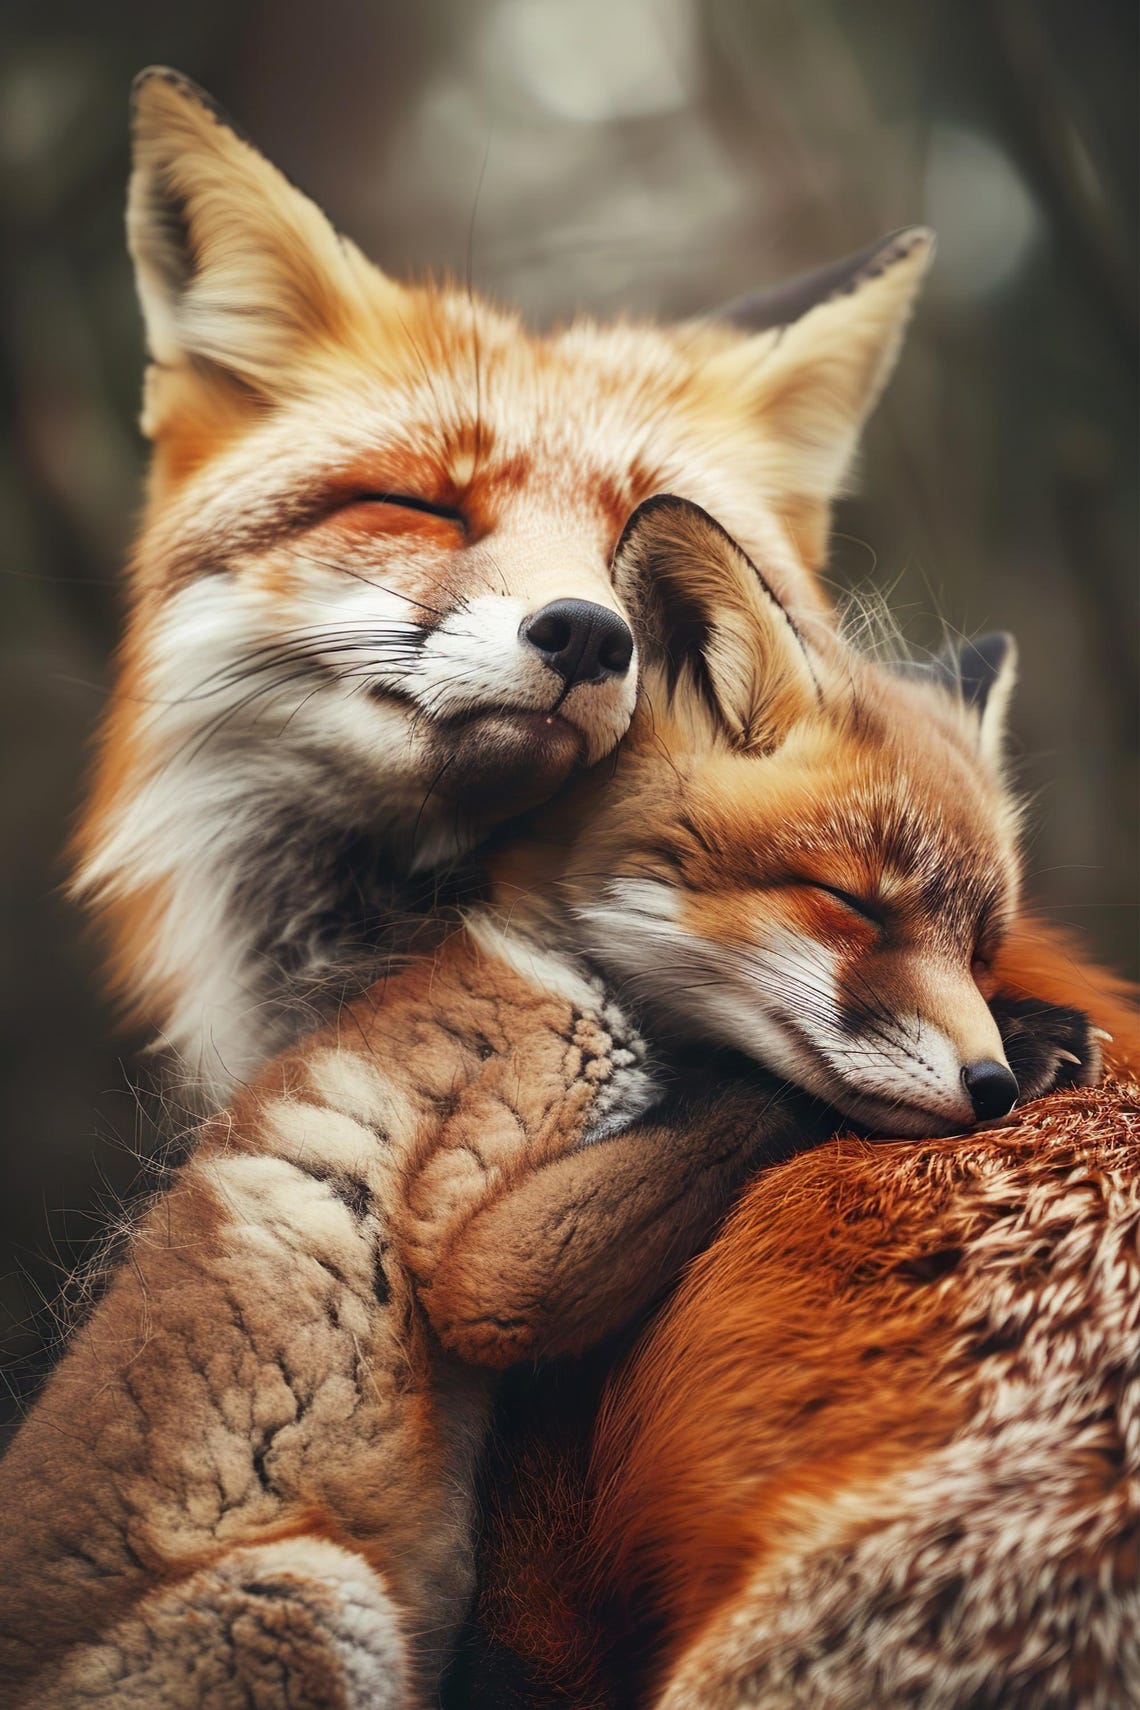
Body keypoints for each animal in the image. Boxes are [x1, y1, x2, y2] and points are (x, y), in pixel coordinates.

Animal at [0, 495, 1107, 1709]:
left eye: (980, 949)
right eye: (852, 904)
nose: (989, 1083)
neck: (570, 965)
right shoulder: (488, 1221)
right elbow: (759, 1093)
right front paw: (1030, 1041)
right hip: (307, 1599)